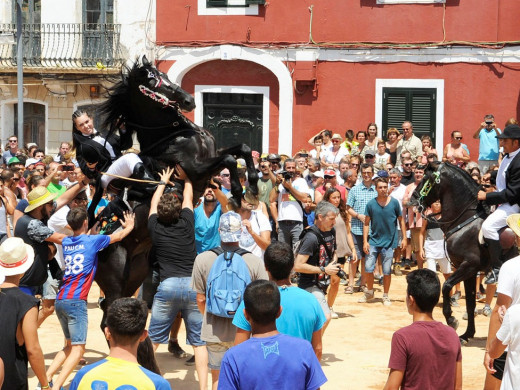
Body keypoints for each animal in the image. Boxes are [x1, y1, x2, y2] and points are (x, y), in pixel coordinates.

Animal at [410, 161, 516, 344]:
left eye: (425, 178)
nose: (412, 199)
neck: (466, 221)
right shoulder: (469, 271)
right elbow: (470, 303)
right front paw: (467, 334)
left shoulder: (468, 266)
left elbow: (446, 286)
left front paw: (451, 319)